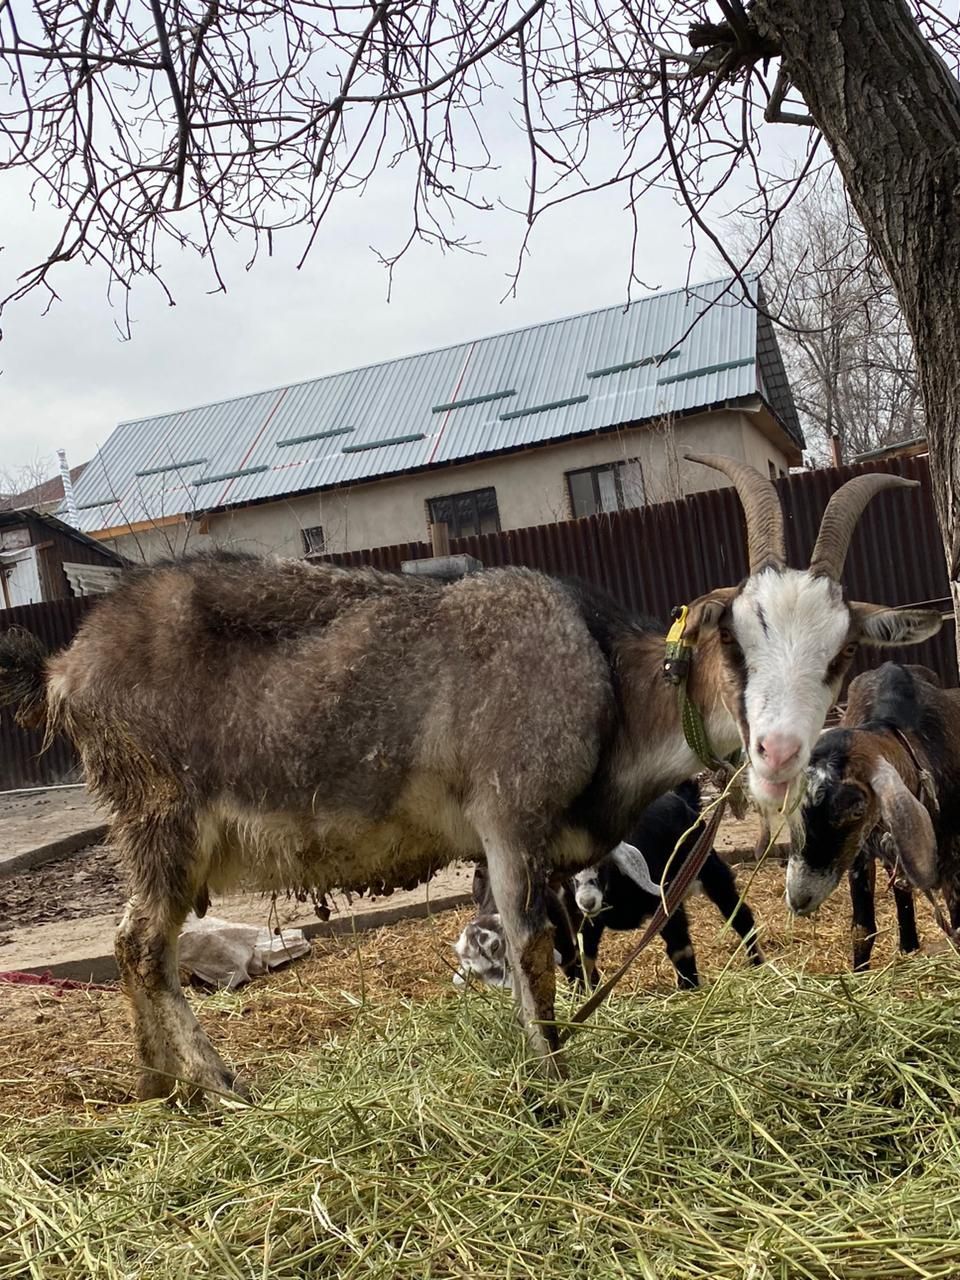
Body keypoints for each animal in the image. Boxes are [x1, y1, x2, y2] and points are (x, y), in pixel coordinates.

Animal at [0, 455, 942, 1095]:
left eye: (839, 654)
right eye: (734, 634)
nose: (777, 754)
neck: (602, 681)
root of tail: (67, 669)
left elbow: (553, 949)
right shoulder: (509, 822)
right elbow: (529, 954)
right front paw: (552, 1087)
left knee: (137, 949)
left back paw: (164, 1089)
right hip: (161, 817)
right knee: (138, 942)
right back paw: (219, 1088)